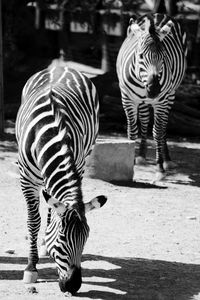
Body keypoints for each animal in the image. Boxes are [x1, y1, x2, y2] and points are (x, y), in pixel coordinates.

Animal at [15, 66, 108, 296]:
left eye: (86, 238)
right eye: (62, 239)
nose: (73, 286)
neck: (50, 134)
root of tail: (63, 66)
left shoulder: (78, 164)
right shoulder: (25, 178)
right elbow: (33, 221)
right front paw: (31, 268)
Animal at [116, 12, 187, 179]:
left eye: (163, 56)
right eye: (141, 56)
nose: (154, 90)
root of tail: (158, 14)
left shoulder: (161, 101)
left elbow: (158, 132)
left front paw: (159, 168)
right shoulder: (127, 99)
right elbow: (132, 131)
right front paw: (130, 162)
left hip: (170, 95)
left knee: (163, 125)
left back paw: (167, 160)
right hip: (142, 101)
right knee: (144, 120)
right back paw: (141, 156)